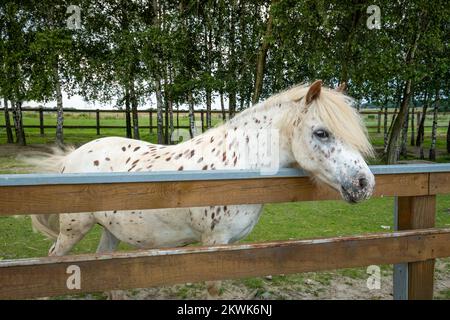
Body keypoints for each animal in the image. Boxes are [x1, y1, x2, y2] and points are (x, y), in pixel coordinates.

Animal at [29, 80, 376, 298]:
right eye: (321, 132)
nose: (365, 184)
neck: (238, 165)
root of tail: (72, 156)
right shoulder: (214, 243)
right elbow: (212, 287)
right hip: (74, 229)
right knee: (51, 261)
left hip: (110, 229)